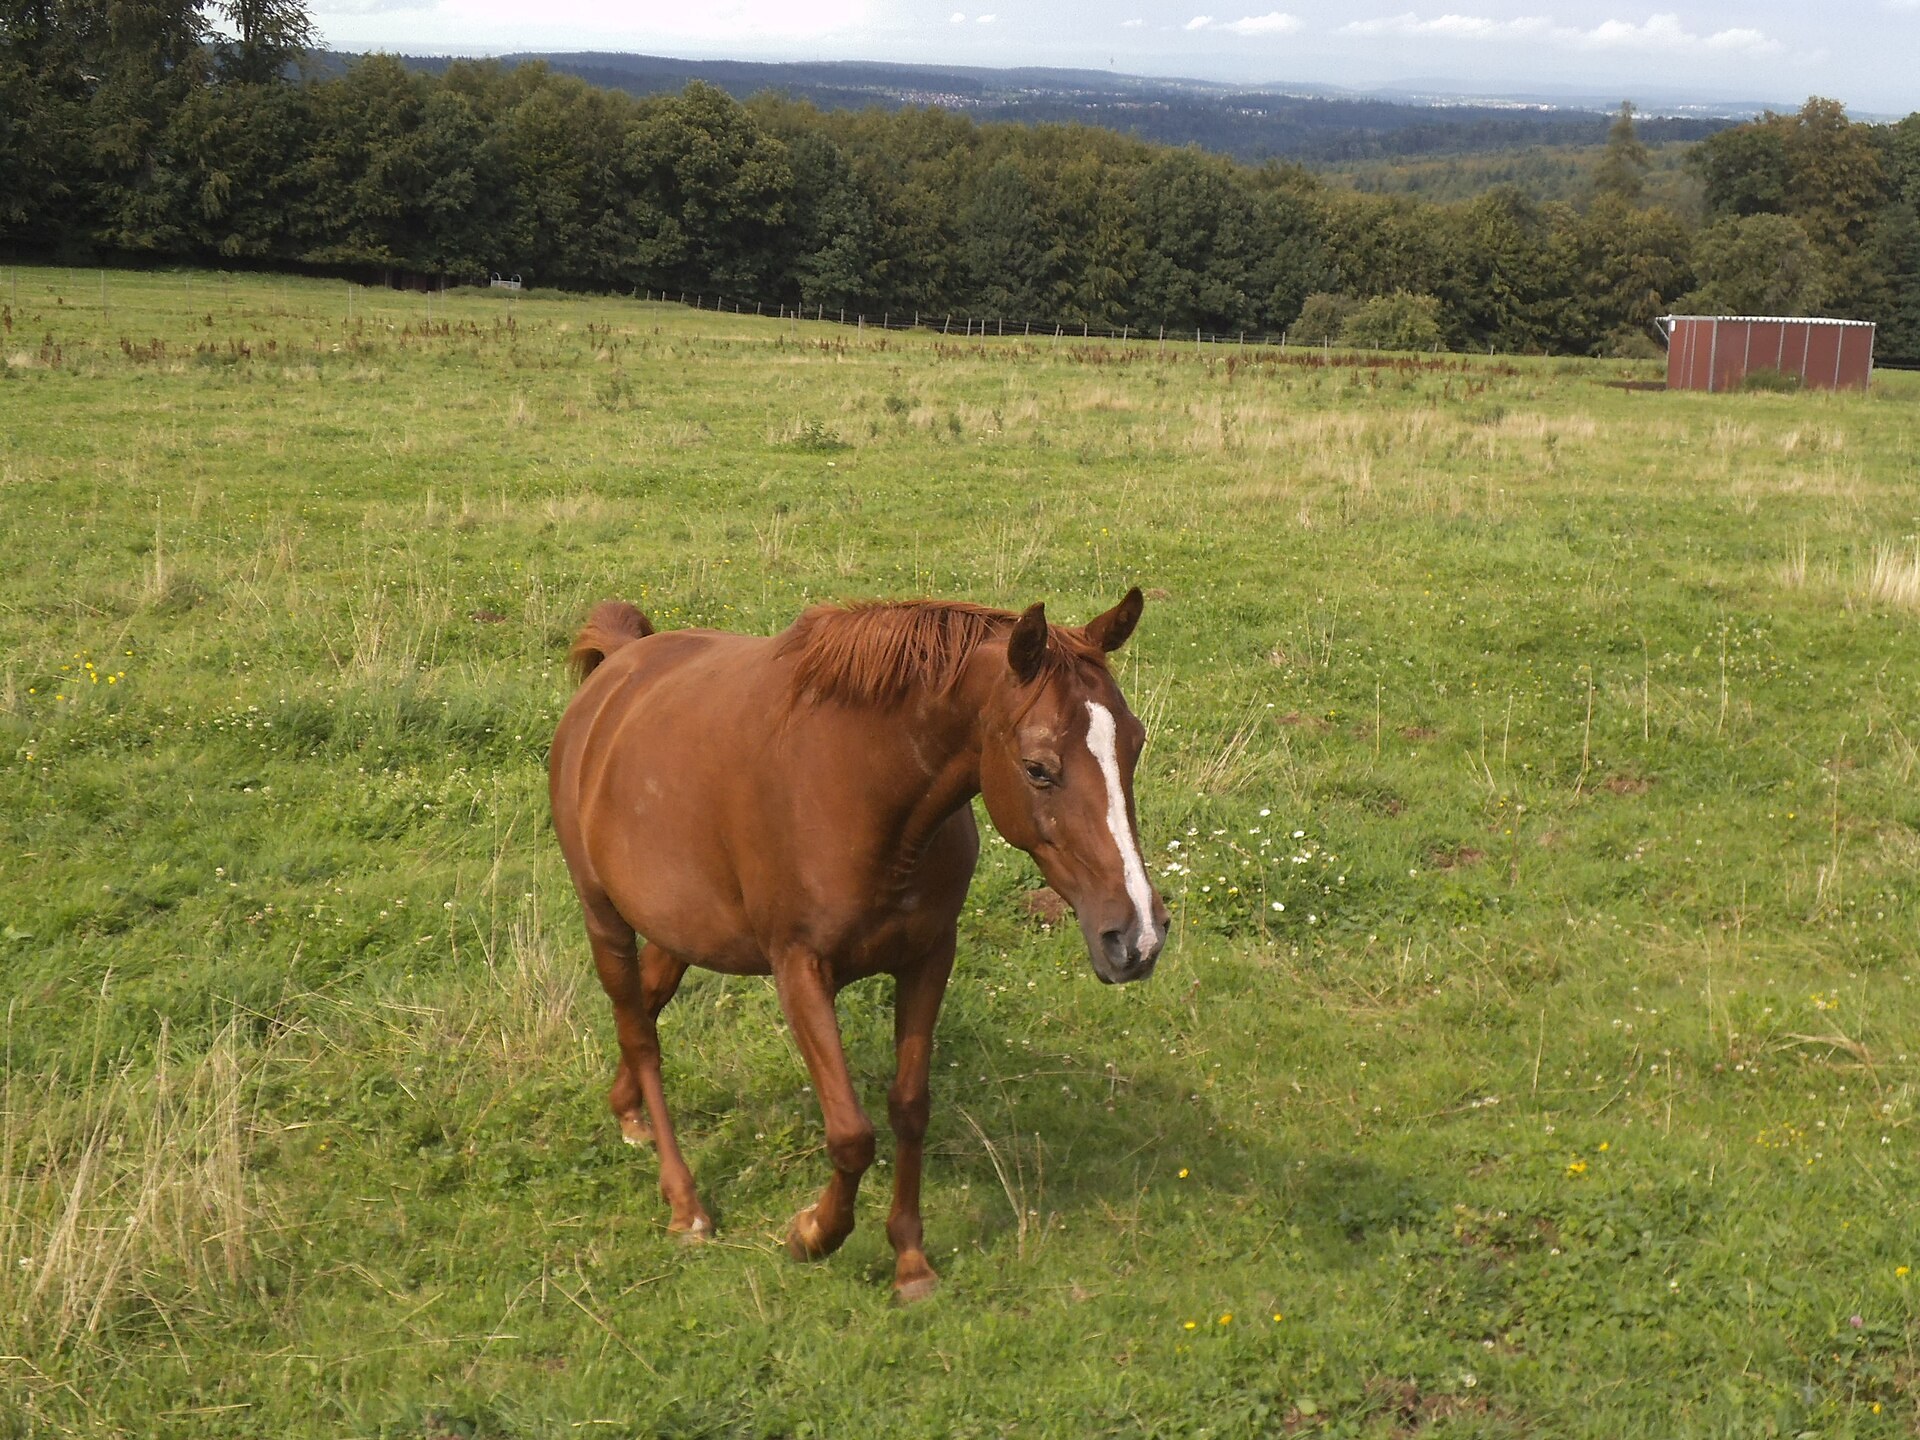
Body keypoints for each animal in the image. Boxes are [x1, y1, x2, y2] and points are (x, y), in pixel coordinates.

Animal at [548, 588, 1168, 1302]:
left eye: (1134, 743)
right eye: (1038, 768)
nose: (1137, 936)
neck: (861, 790)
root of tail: (618, 670)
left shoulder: (929, 958)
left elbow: (910, 1108)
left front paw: (911, 1262)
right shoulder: (800, 971)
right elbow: (851, 1133)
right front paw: (812, 1234)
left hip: (678, 930)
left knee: (645, 1008)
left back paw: (627, 1115)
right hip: (604, 918)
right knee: (640, 1035)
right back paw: (685, 1204)